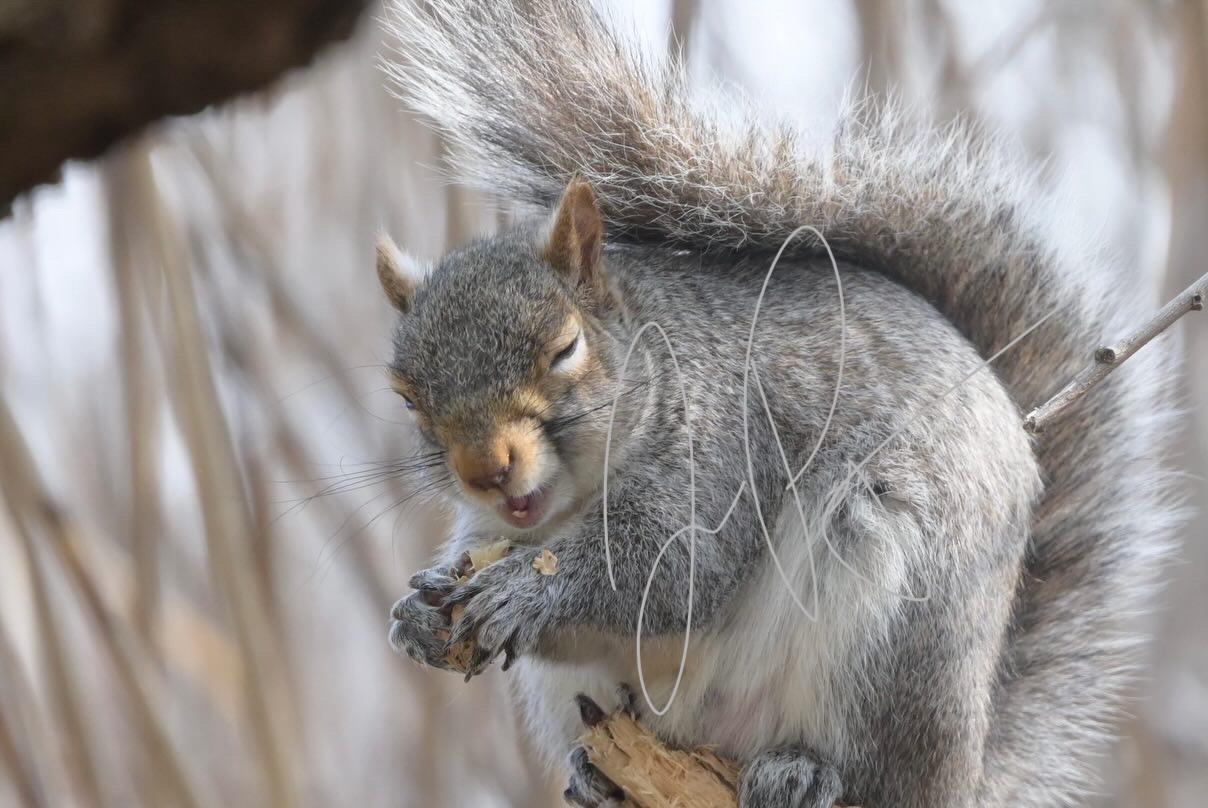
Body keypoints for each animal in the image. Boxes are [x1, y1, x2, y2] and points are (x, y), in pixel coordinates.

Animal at [378, 1, 1179, 806]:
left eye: (565, 348)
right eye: (406, 397)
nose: (488, 470)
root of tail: (966, 770)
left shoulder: (724, 454)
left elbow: (671, 570)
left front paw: (527, 591)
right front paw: (417, 612)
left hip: (899, 629)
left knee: (873, 771)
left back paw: (806, 770)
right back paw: (594, 773)